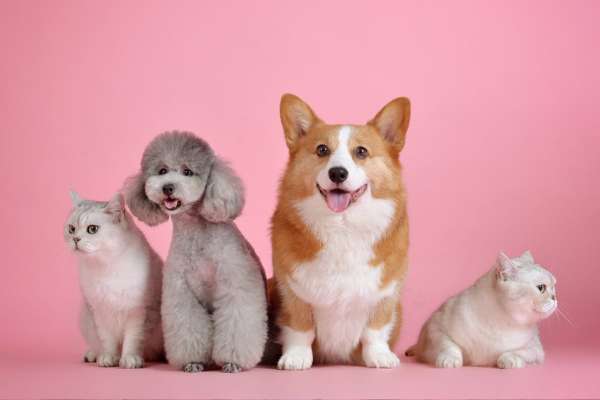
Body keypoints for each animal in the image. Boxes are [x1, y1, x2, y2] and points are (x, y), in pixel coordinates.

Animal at [270, 94, 410, 368]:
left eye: (361, 151)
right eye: (322, 150)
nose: (337, 173)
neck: (343, 226)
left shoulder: (386, 293)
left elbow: (375, 330)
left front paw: (379, 356)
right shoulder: (291, 292)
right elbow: (300, 328)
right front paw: (296, 358)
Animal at [408, 252, 556, 368]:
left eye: (554, 287)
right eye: (541, 288)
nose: (555, 298)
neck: (503, 322)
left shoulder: (535, 348)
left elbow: (516, 352)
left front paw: (509, 360)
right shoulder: (435, 328)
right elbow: (449, 345)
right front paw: (450, 360)